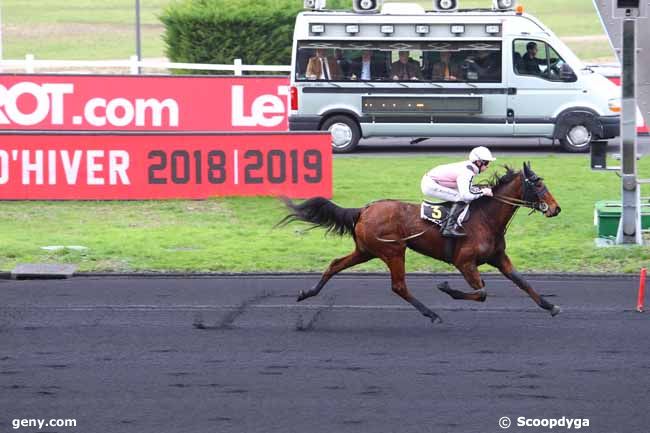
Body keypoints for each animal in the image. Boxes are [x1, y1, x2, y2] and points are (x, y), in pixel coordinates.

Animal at [276, 163, 560, 324]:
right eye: (538, 185)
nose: (556, 208)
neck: (485, 218)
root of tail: (364, 209)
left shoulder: (498, 257)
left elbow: (522, 282)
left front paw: (551, 306)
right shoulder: (464, 262)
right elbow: (481, 292)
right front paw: (446, 287)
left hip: (366, 250)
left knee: (335, 265)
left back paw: (306, 293)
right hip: (393, 250)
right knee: (399, 286)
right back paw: (432, 314)